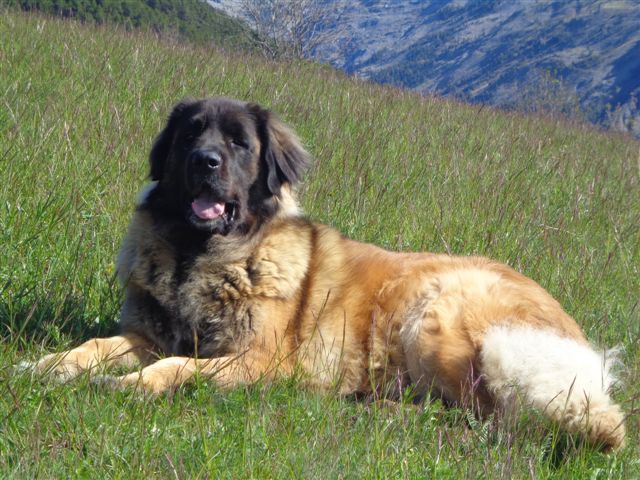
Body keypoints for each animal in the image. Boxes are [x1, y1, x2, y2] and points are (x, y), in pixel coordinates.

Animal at [23, 96, 624, 450]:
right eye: (190, 135)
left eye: (239, 143)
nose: (205, 161)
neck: (202, 256)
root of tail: (581, 348)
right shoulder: (145, 333)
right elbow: (95, 346)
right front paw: (46, 365)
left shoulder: (258, 359)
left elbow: (174, 367)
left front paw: (129, 385)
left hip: (439, 315)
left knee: (485, 419)